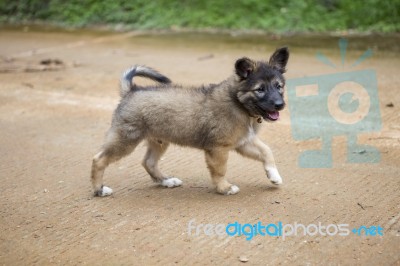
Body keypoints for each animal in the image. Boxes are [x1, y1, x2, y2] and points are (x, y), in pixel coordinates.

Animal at [90, 46, 290, 195]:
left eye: (279, 86)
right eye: (260, 89)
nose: (280, 105)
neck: (239, 103)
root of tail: (131, 91)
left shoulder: (243, 142)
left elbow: (267, 151)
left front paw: (274, 175)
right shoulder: (218, 148)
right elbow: (220, 170)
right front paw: (224, 188)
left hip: (158, 141)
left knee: (148, 162)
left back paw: (166, 181)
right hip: (126, 140)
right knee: (98, 159)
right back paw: (99, 189)